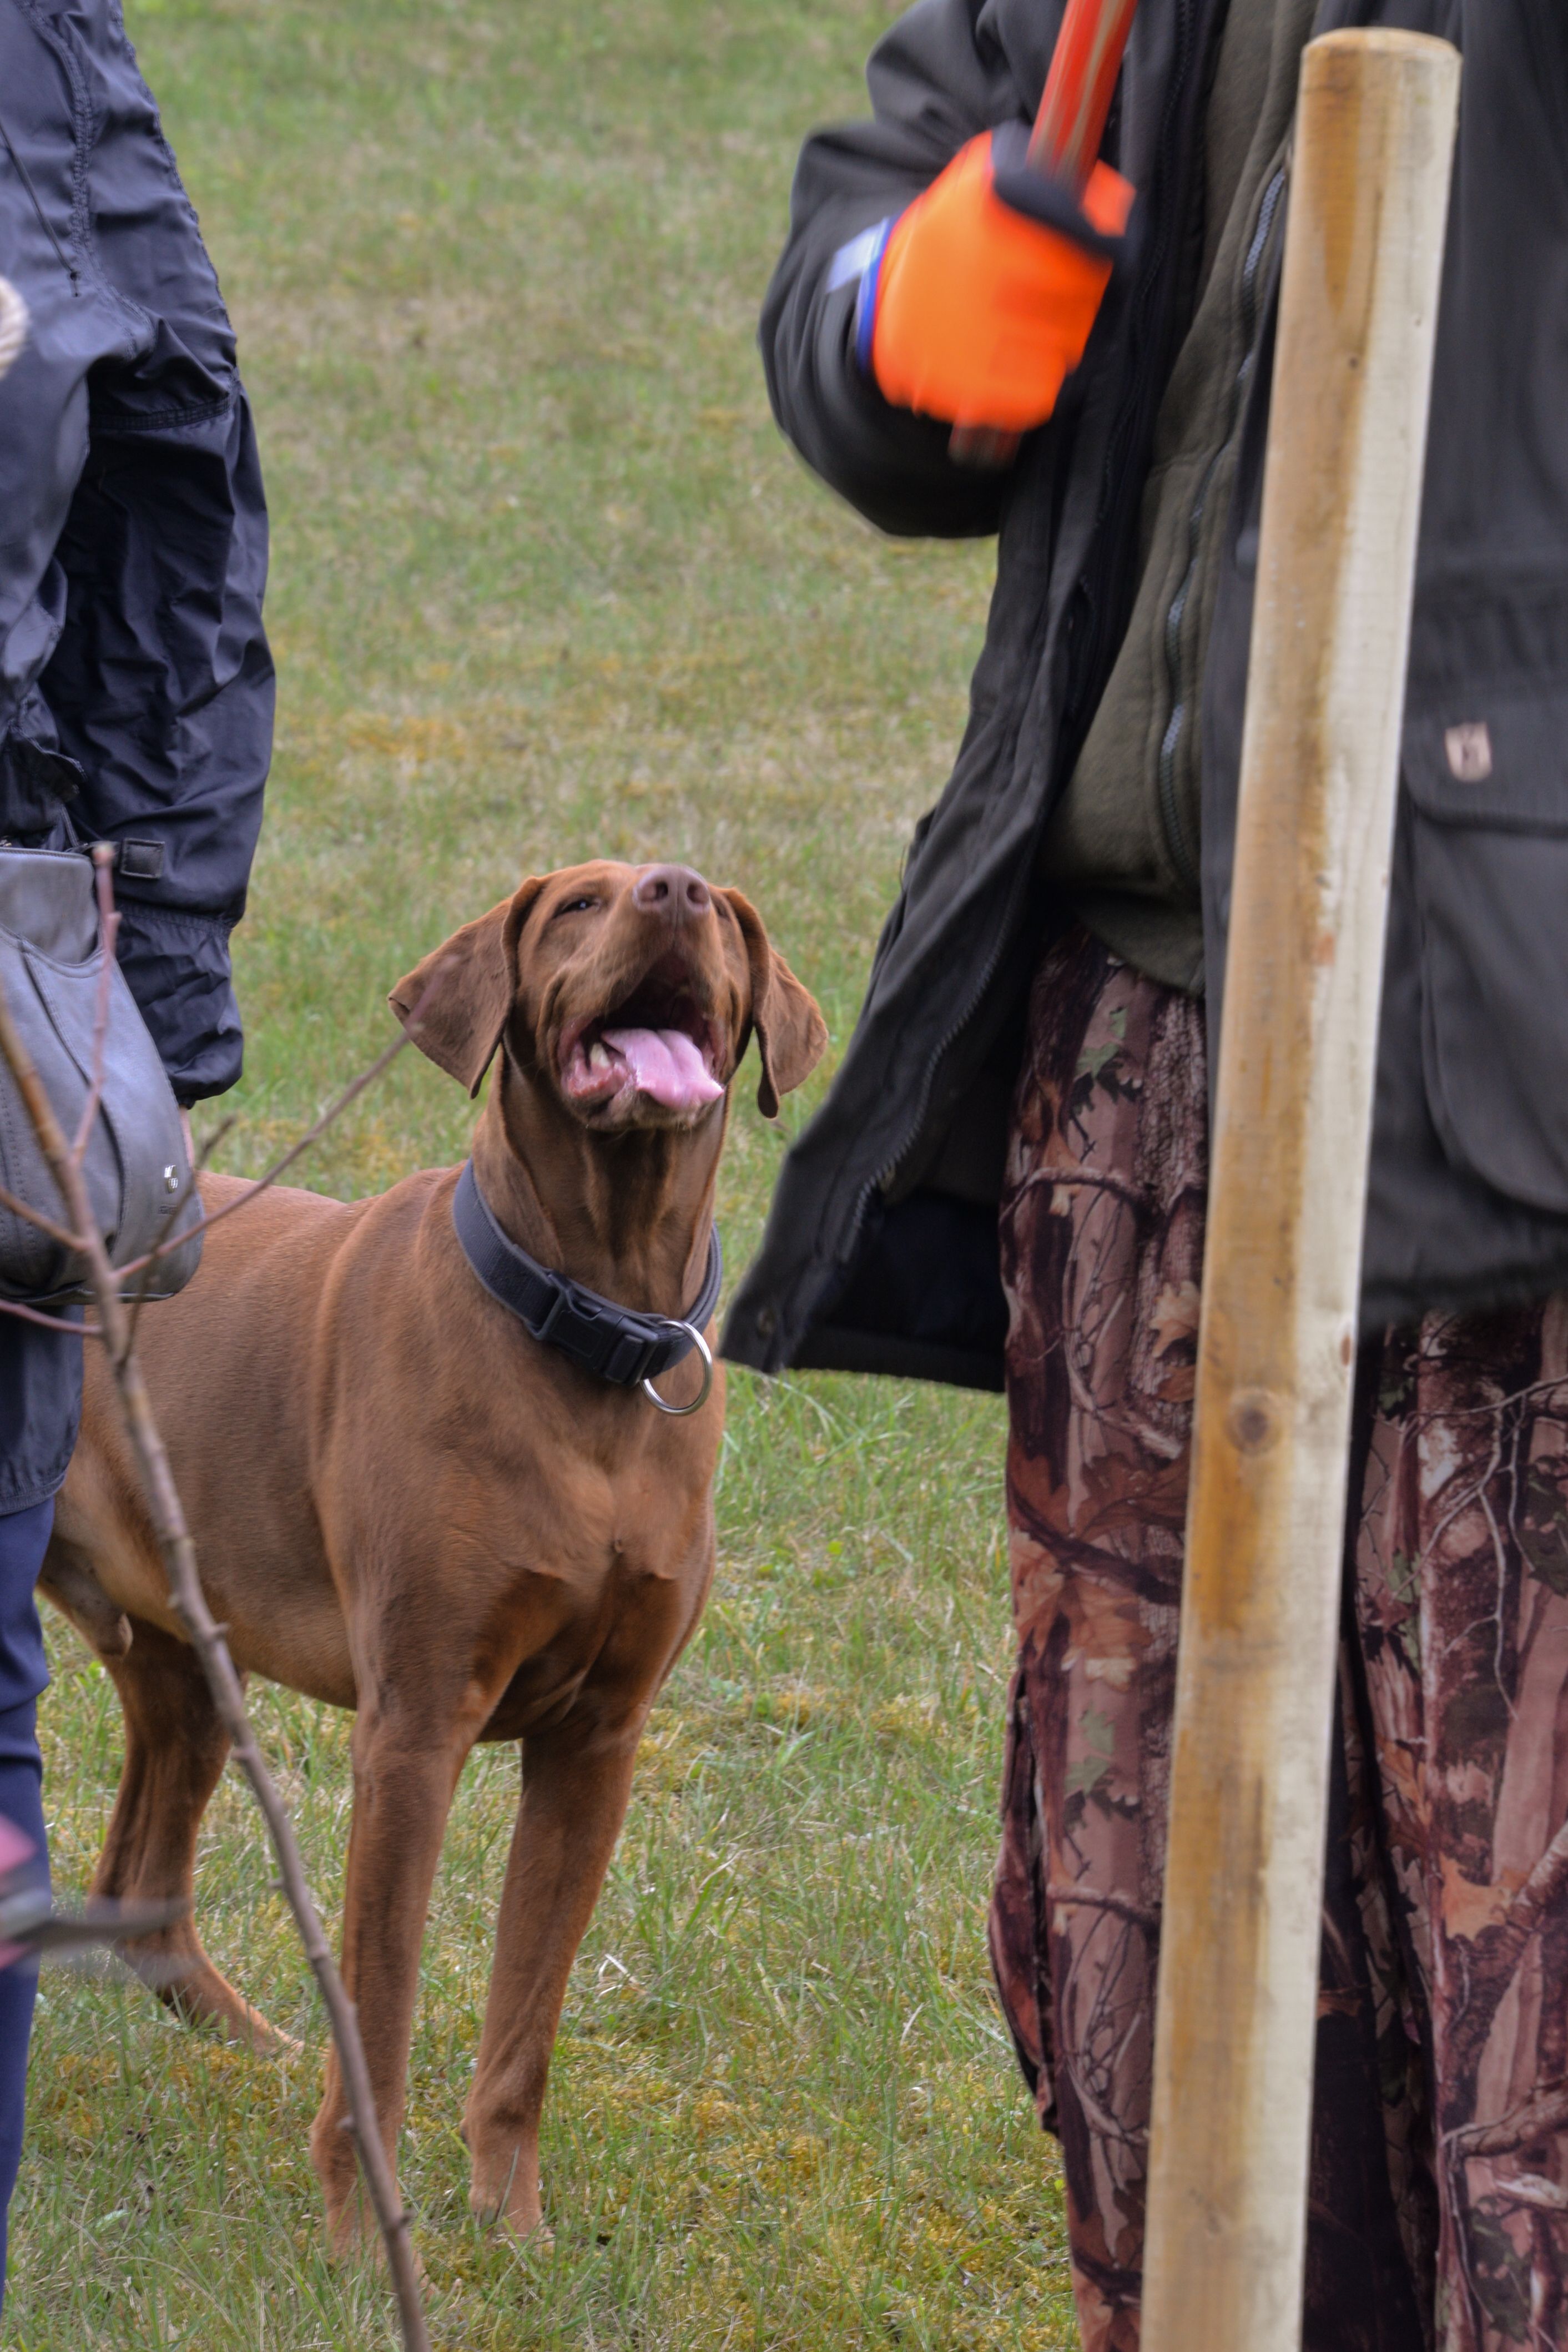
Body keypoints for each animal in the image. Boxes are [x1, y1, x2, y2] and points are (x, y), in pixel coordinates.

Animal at [40, 858, 825, 2249]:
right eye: (577, 905)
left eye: (722, 916)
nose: (674, 891)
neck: (591, 1338)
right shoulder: (412, 1723)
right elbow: (386, 2007)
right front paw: (365, 2240)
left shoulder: (598, 1739)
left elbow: (524, 2027)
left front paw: (513, 2231)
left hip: (183, 1651)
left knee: (142, 1884)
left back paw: (251, 2042)